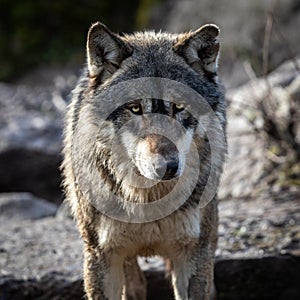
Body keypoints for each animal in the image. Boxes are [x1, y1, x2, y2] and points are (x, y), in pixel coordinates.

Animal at [62, 21, 226, 300]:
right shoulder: (101, 256)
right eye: (136, 108)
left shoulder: (193, 253)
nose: (167, 167)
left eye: (179, 107)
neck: (149, 203)